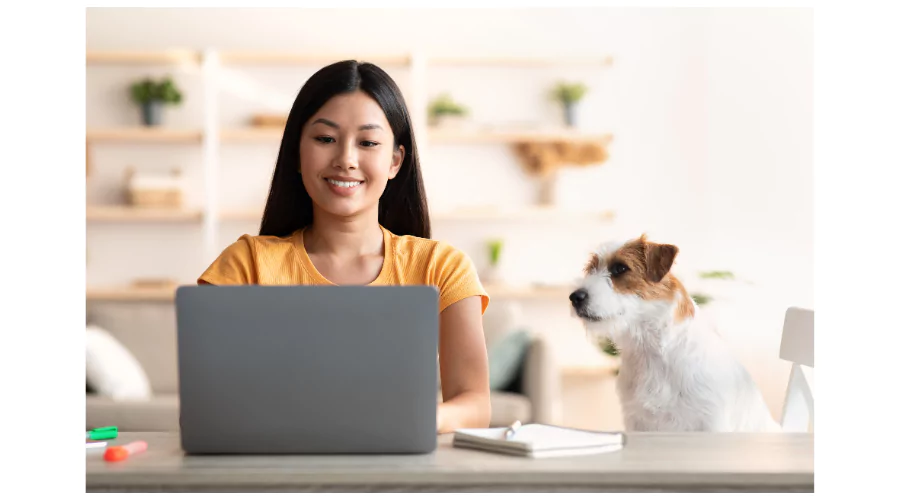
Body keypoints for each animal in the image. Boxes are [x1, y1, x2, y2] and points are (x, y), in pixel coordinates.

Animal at [572, 234, 776, 434]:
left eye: (620, 268)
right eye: (590, 269)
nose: (574, 297)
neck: (651, 352)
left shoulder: (710, 423)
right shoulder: (636, 421)